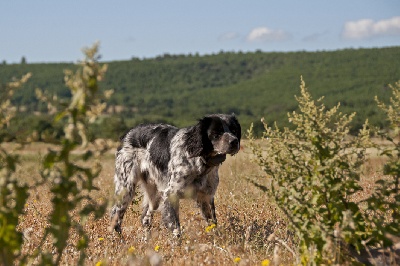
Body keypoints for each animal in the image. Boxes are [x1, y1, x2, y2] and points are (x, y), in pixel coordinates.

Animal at [109, 114, 241, 237]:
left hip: (155, 195)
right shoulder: (170, 195)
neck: (201, 162)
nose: (234, 141)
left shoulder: (206, 197)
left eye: (234, 130)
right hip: (126, 189)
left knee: (145, 219)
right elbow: (176, 229)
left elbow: (213, 224)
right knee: (115, 218)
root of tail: (129, 133)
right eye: (216, 132)